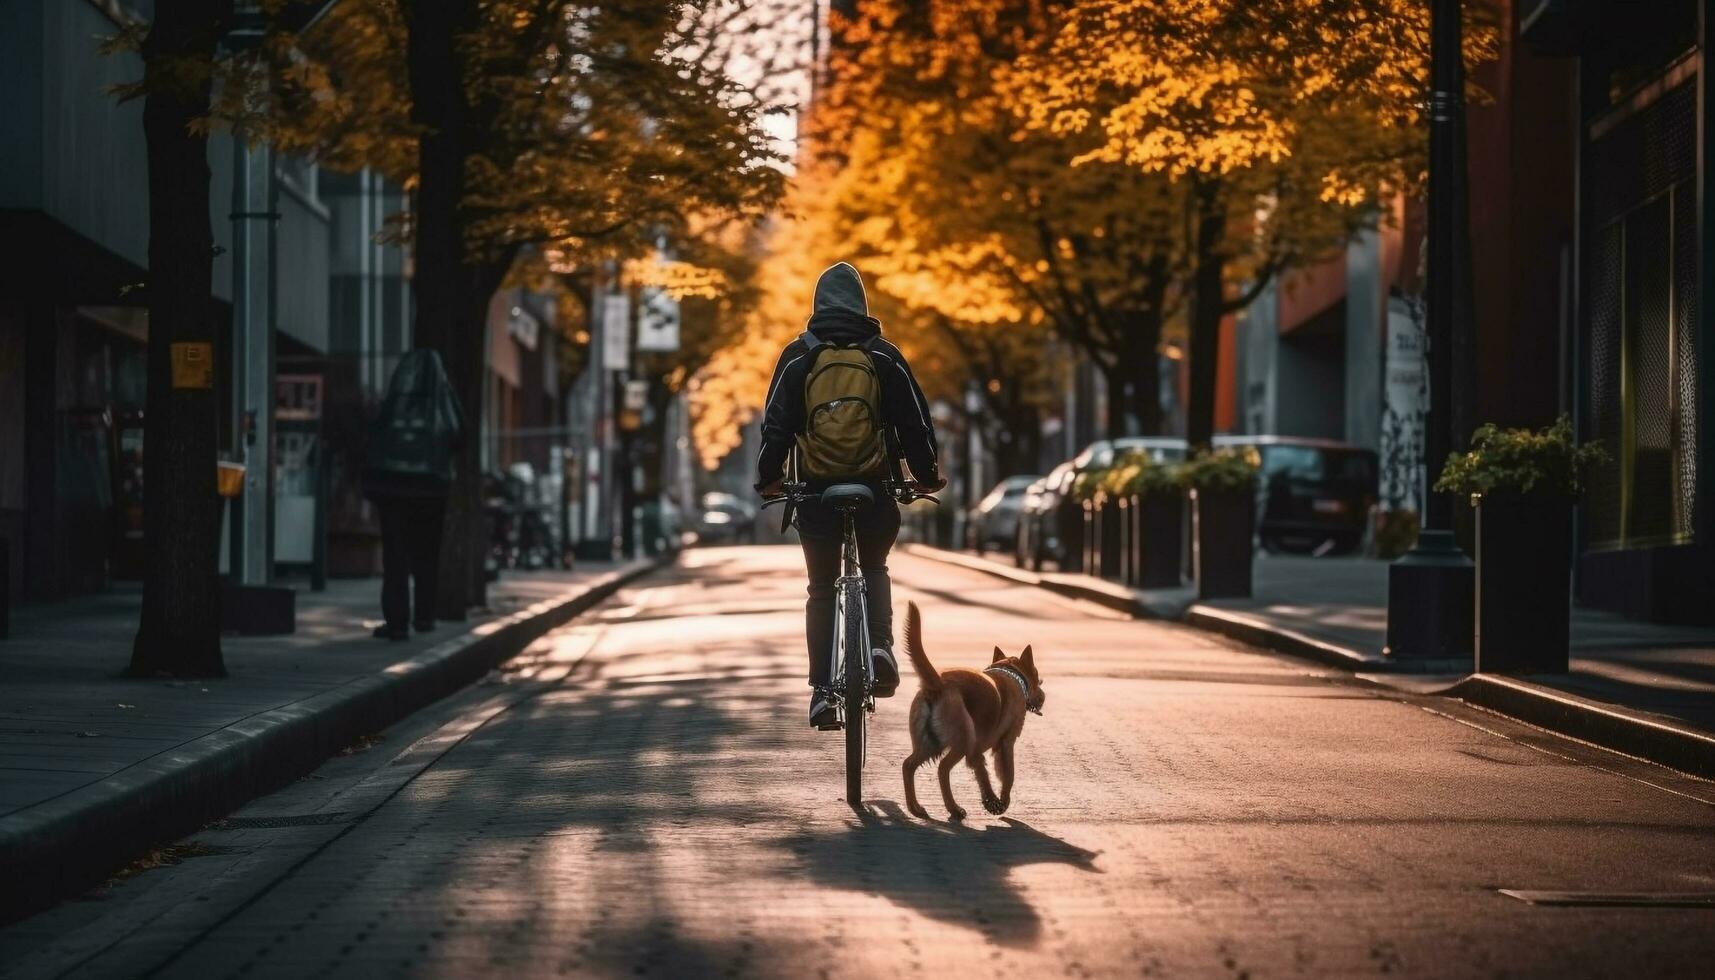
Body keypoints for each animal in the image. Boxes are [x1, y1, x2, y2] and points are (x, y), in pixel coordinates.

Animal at [898, 600, 1042, 823]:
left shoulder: (976, 752)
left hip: (929, 744)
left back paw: (916, 808)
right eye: (1039, 680)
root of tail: (937, 684)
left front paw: (990, 800)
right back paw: (954, 808)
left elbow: (982, 773)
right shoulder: (1006, 743)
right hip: (961, 739)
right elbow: (1008, 776)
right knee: (943, 769)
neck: (1011, 674)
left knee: (908, 765)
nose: (1043, 697)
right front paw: (1001, 803)